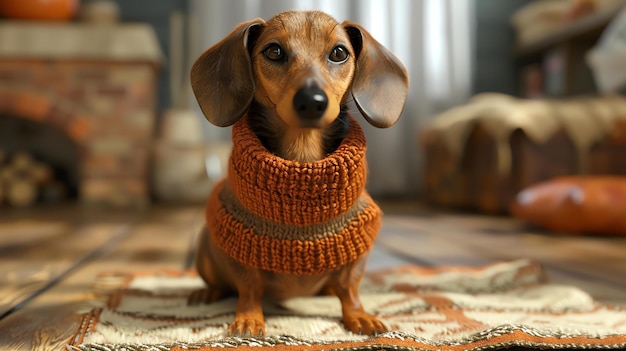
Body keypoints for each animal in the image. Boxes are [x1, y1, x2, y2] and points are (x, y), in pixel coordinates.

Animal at [188, 9, 408, 336]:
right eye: (274, 51)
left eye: (339, 53)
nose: (312, 102)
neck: (302, 158)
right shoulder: (241, 243)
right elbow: (249, 287)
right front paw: (249, 319)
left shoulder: (357, 245)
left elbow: (350, 287)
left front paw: (359, 315)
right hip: (205, 248)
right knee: (221, 282)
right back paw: (207, 292)